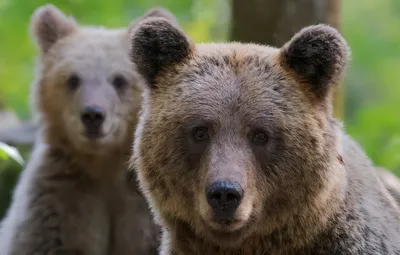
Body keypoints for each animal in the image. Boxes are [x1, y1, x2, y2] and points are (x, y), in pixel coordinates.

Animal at [0, 4, 177, 255]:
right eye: (73, 79)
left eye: (119, 80)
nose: (93, 115)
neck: (104, 165)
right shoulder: (59, 201)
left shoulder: (145, 211)